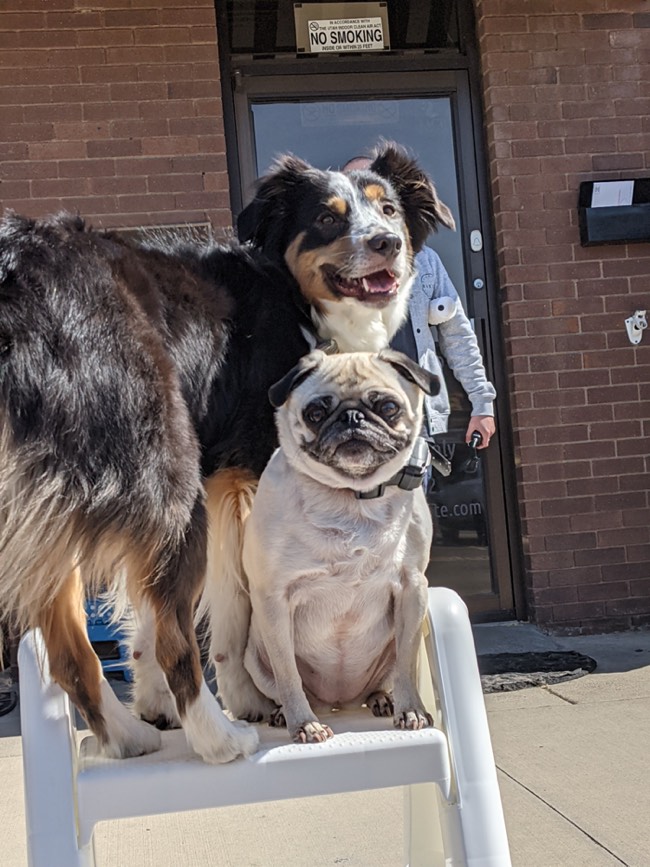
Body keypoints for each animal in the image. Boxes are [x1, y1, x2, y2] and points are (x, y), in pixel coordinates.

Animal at [0, 146, 450, 764]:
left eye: (388, 209)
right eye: (327, 218)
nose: (386, 242)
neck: (292, 295)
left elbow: (144, 618)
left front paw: (154, 703)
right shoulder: (242, 479)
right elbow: (235, 610)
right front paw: (249, 698)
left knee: (74, 650)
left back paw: (128, 735)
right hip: (168, 480)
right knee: (176, 637)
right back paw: (219, 737)